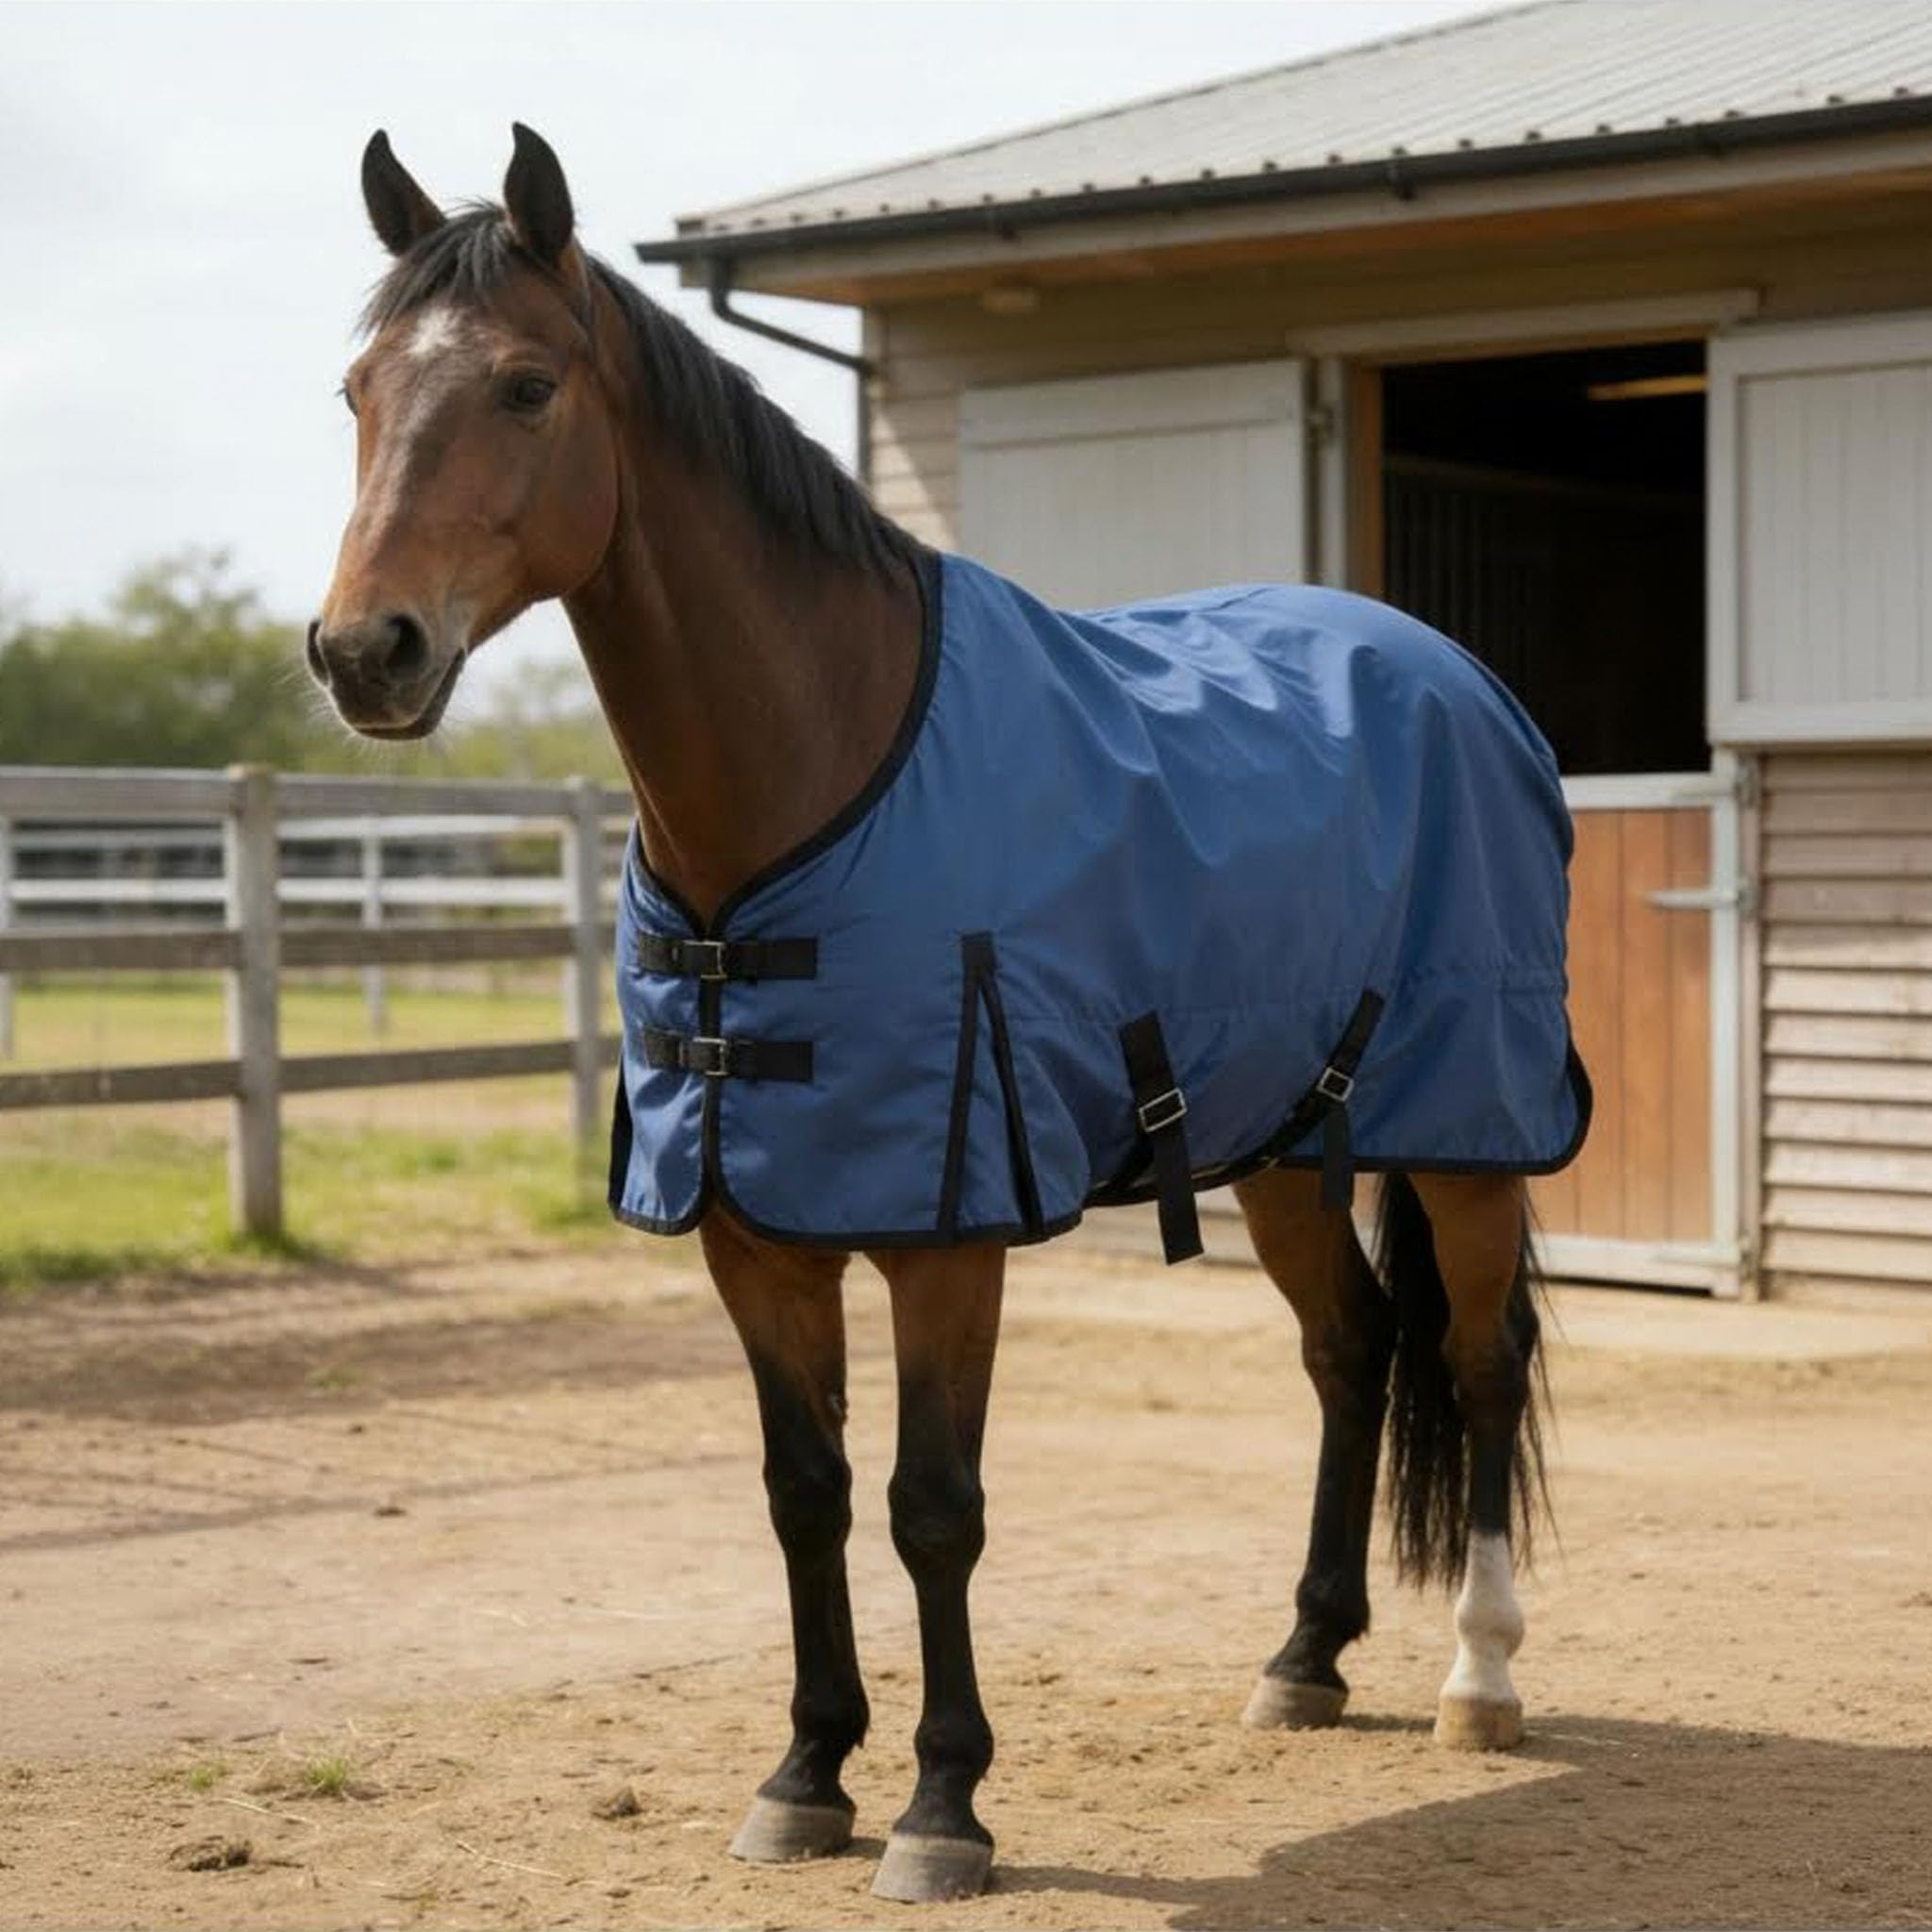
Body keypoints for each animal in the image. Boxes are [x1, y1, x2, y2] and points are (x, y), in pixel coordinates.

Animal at [310, 125, 1583, 1905]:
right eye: (358, 388)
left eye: (523, 385)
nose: (364, 649)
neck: (813, 776)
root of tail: (1453, 678)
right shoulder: (754, 1231)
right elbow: (806, 1493)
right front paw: (803, 1774)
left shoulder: (945, 1227)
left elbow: (932, 1504)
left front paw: (939, 1805)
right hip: (1281, 1139)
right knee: (1349, 1349)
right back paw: (1305, 1659)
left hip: (1469, 1130)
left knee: (1471, 1360)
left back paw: (1480, 1673)